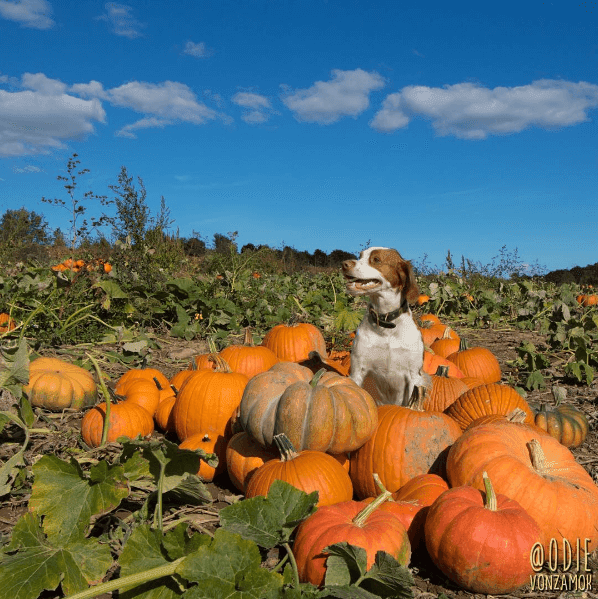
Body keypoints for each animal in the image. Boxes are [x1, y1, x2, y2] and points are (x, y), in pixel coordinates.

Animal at [342, 246, 432, 406]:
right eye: (360, 256)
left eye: (376, 259)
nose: (344, 264)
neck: (387, 327)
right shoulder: (357, 371)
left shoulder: (414, 376)